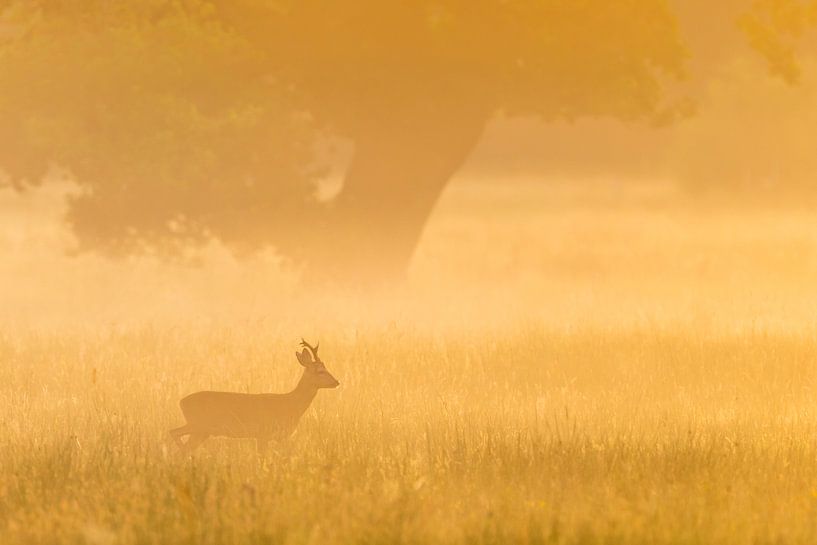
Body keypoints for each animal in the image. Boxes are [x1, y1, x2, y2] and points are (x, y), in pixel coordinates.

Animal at [169, 340, 338, 450]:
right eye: (320, 371)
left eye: (326, 368)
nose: (336, 382)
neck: (290, 404)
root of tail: (181, 402)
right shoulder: (263, 434)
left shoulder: (280, 438)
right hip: (198, 425)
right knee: (174, 433)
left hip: (203, 431)